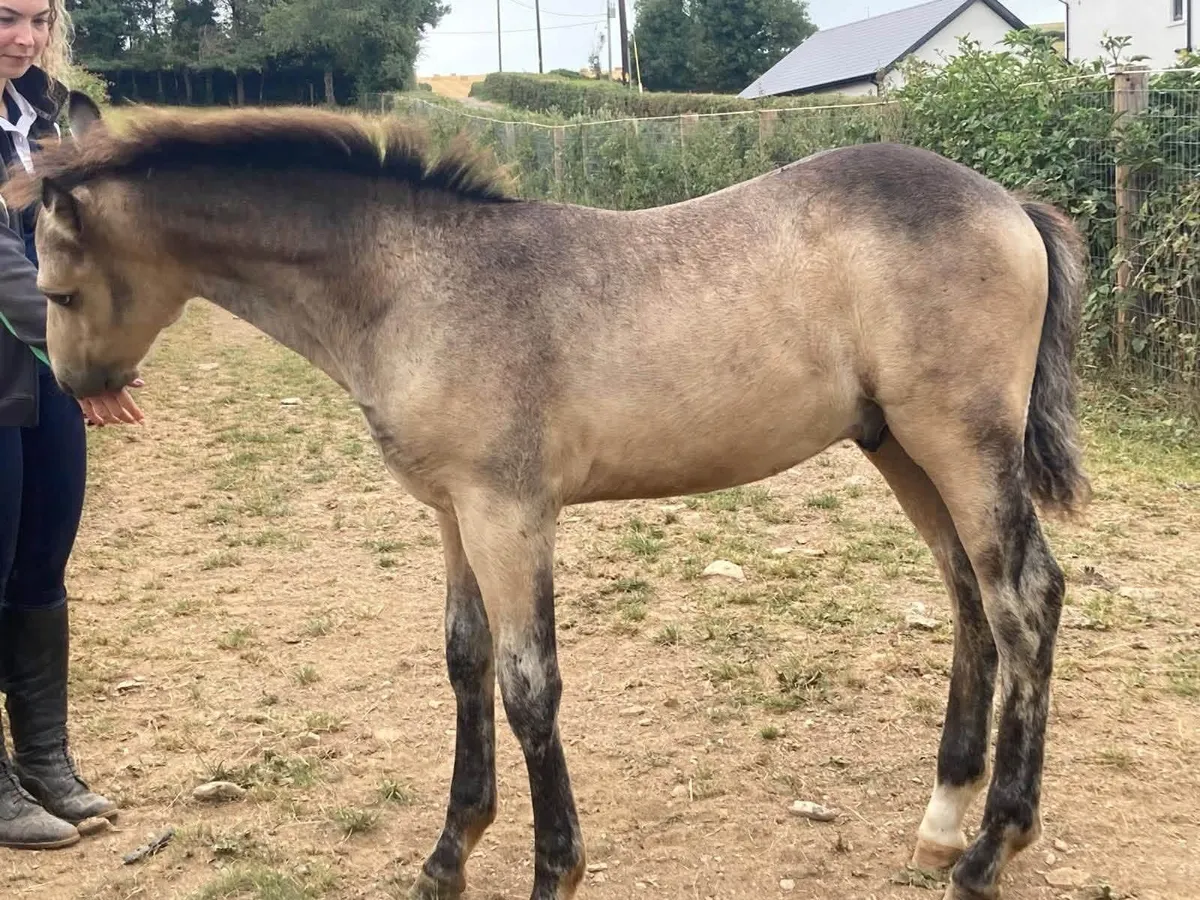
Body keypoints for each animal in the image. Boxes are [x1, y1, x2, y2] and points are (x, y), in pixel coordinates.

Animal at [3, 92, 1091, 900]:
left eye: (56, 289)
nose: (80, 390)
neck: (416, 283)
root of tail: (1010, 204)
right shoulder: (452, 512)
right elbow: (465, 661)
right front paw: (448, 855)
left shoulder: (509, 512)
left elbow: (530, 684)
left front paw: (551, 868)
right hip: (898, 446)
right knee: (968, 595)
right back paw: (943, 820)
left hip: (962, 442)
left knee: (1024, 598)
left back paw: (993, 848)